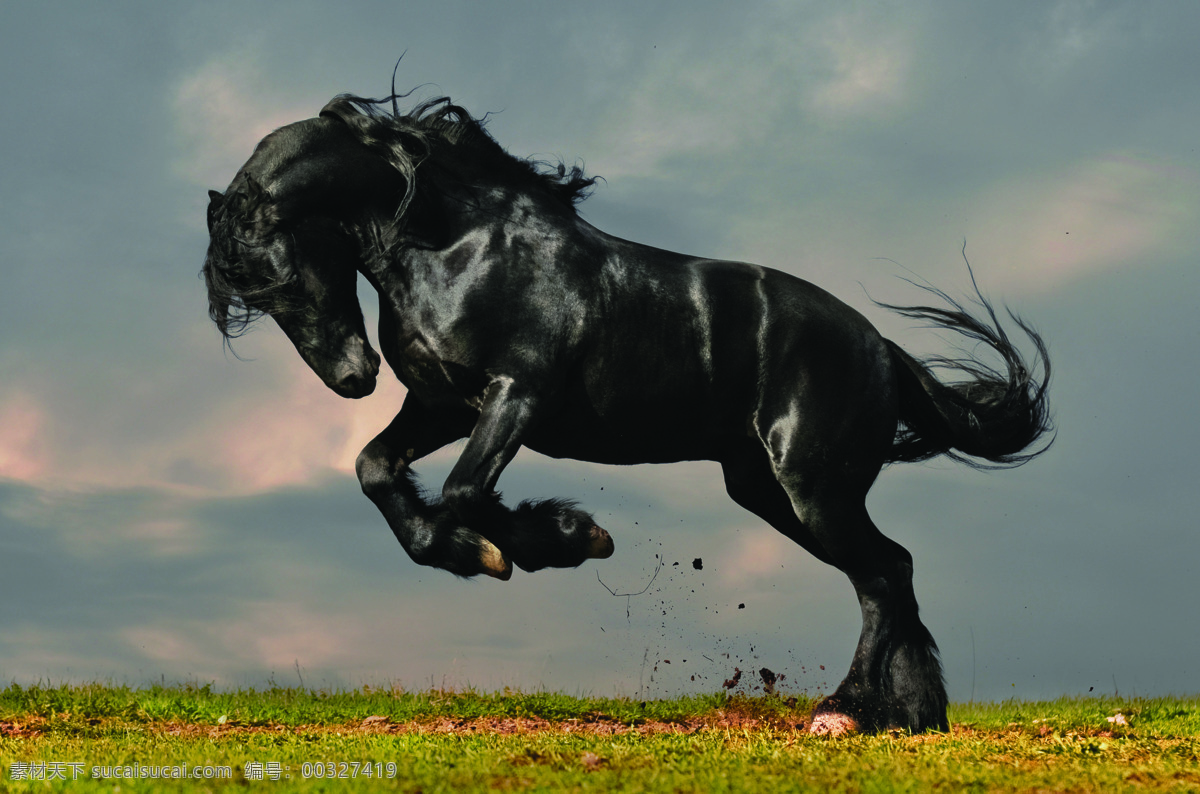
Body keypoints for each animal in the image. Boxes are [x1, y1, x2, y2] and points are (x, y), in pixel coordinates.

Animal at [204, 91, 1051, 734]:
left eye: (282, 271)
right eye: (251, 294)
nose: (352, 378)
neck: (459, 245)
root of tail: (880, 348)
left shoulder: (516, 395)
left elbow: (464, 491)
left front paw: (560, 538)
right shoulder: (442, 402)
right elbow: (377, 470)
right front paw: (475, 551)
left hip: (814, 488)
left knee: (882, 573)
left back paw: (845, 711)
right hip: (769, 491)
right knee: (889, 572)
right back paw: (906, 716)